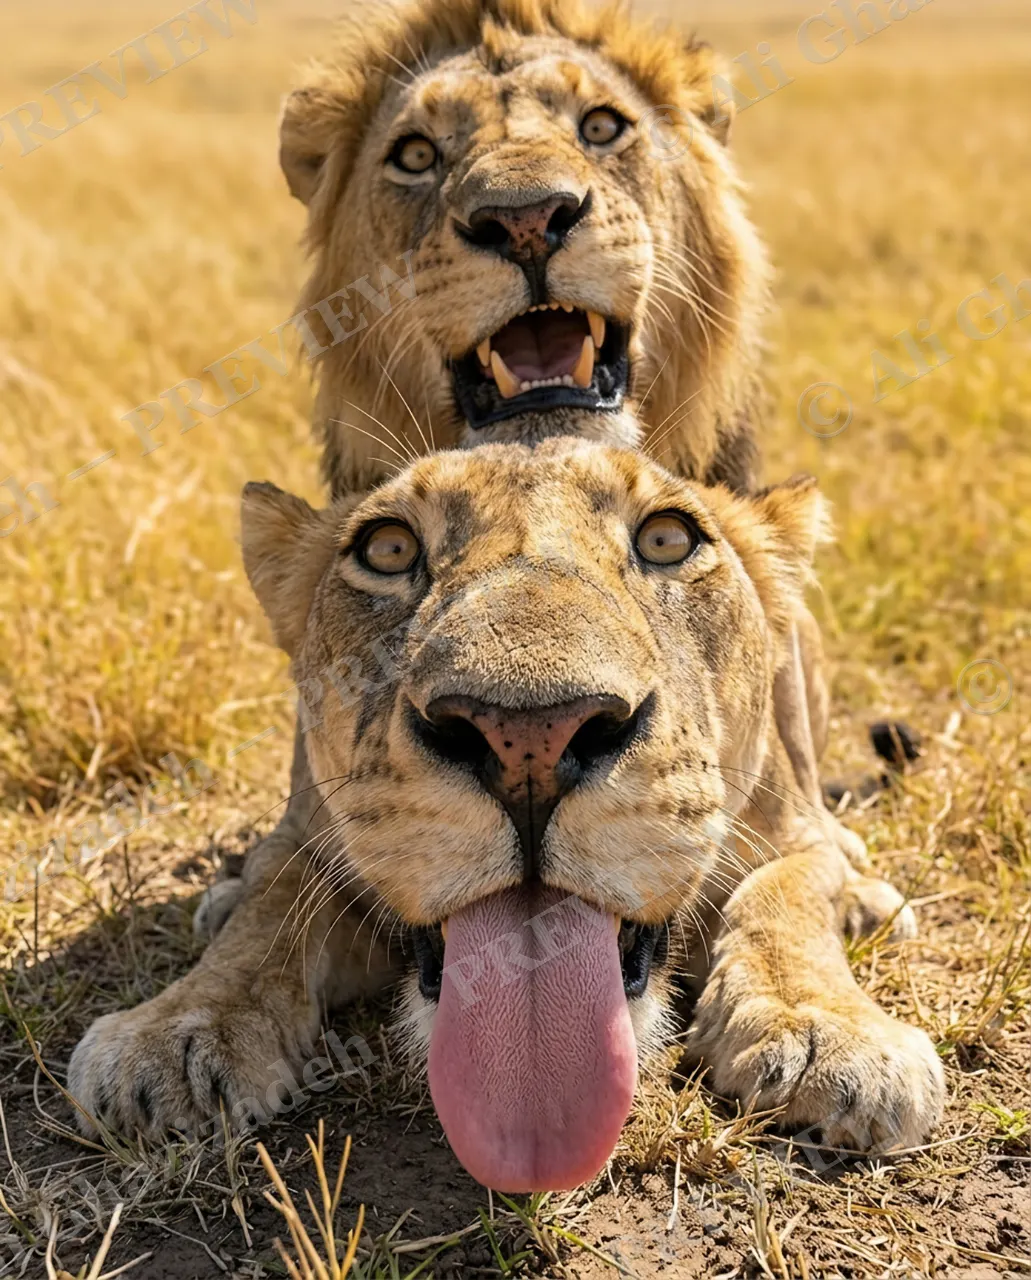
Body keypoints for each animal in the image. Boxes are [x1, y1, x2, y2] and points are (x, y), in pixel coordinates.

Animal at [69, 438, 943, 1191]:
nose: (529, 735)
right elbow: (267, 911)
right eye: (388, 549)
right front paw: (178, 1034)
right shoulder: (299, 837)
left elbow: (784, 895)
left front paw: (826, 1033)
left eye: (666, 538)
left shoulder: (790, 834)